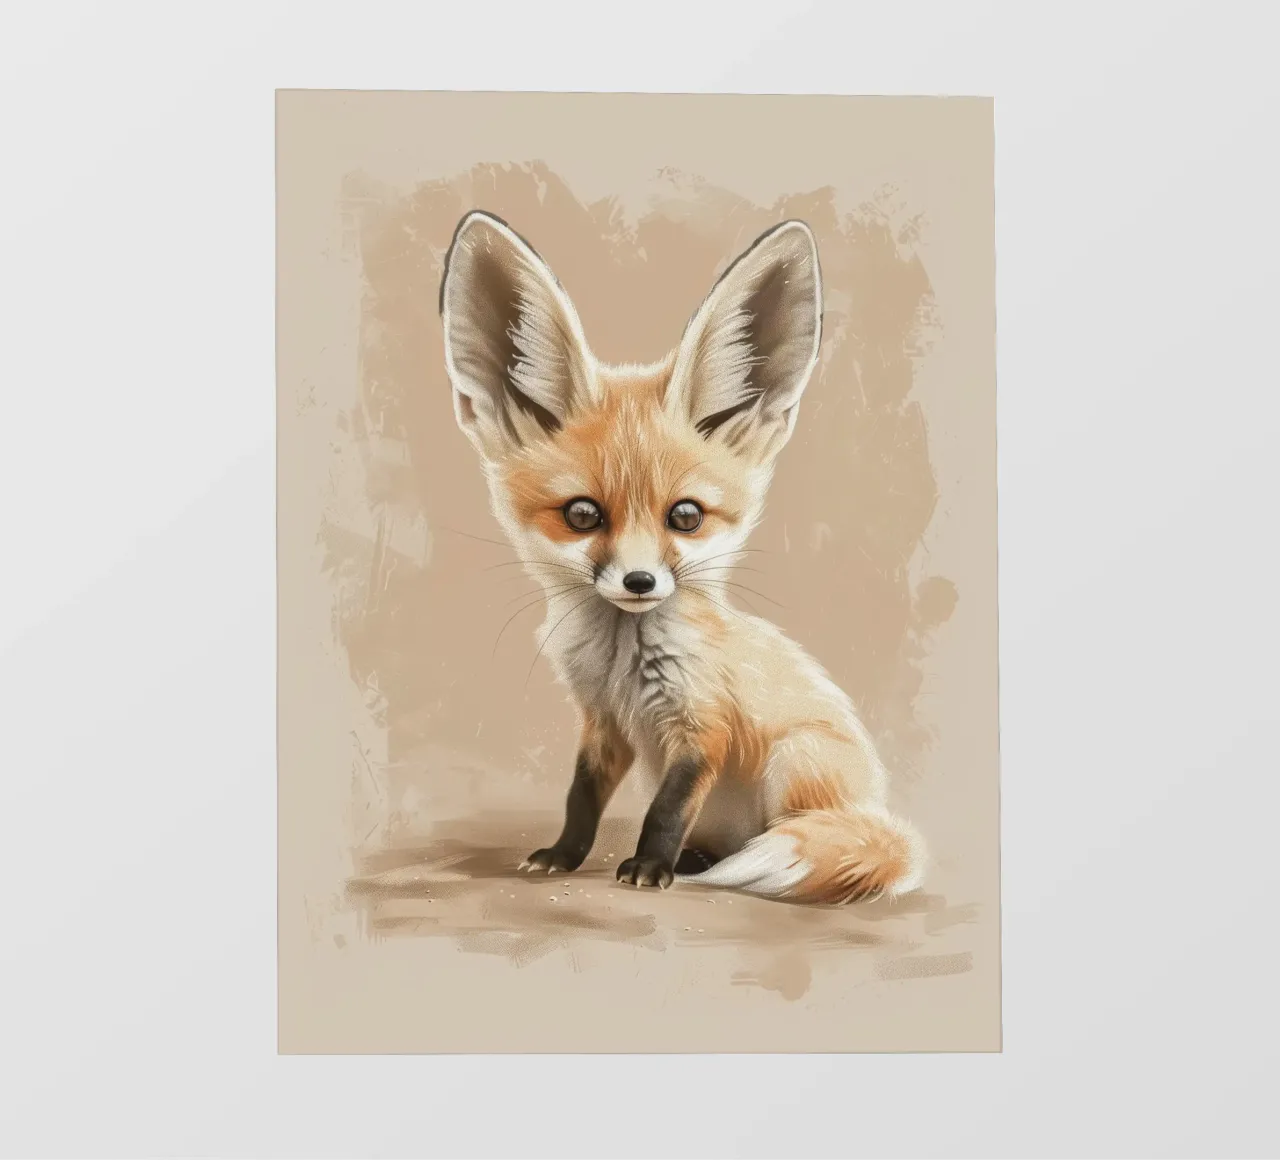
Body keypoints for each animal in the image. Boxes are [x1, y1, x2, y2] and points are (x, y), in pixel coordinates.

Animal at [438, 210, 927, 905]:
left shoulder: (703, 727)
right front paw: (564, 855)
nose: (640, 580)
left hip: (795, 763)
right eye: (583, 515)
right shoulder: (604, 726)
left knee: (802, 833)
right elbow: (580, 798)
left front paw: (648, 866)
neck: (622, 664)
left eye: (686, 516)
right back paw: (701, 859)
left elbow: (667, 810)